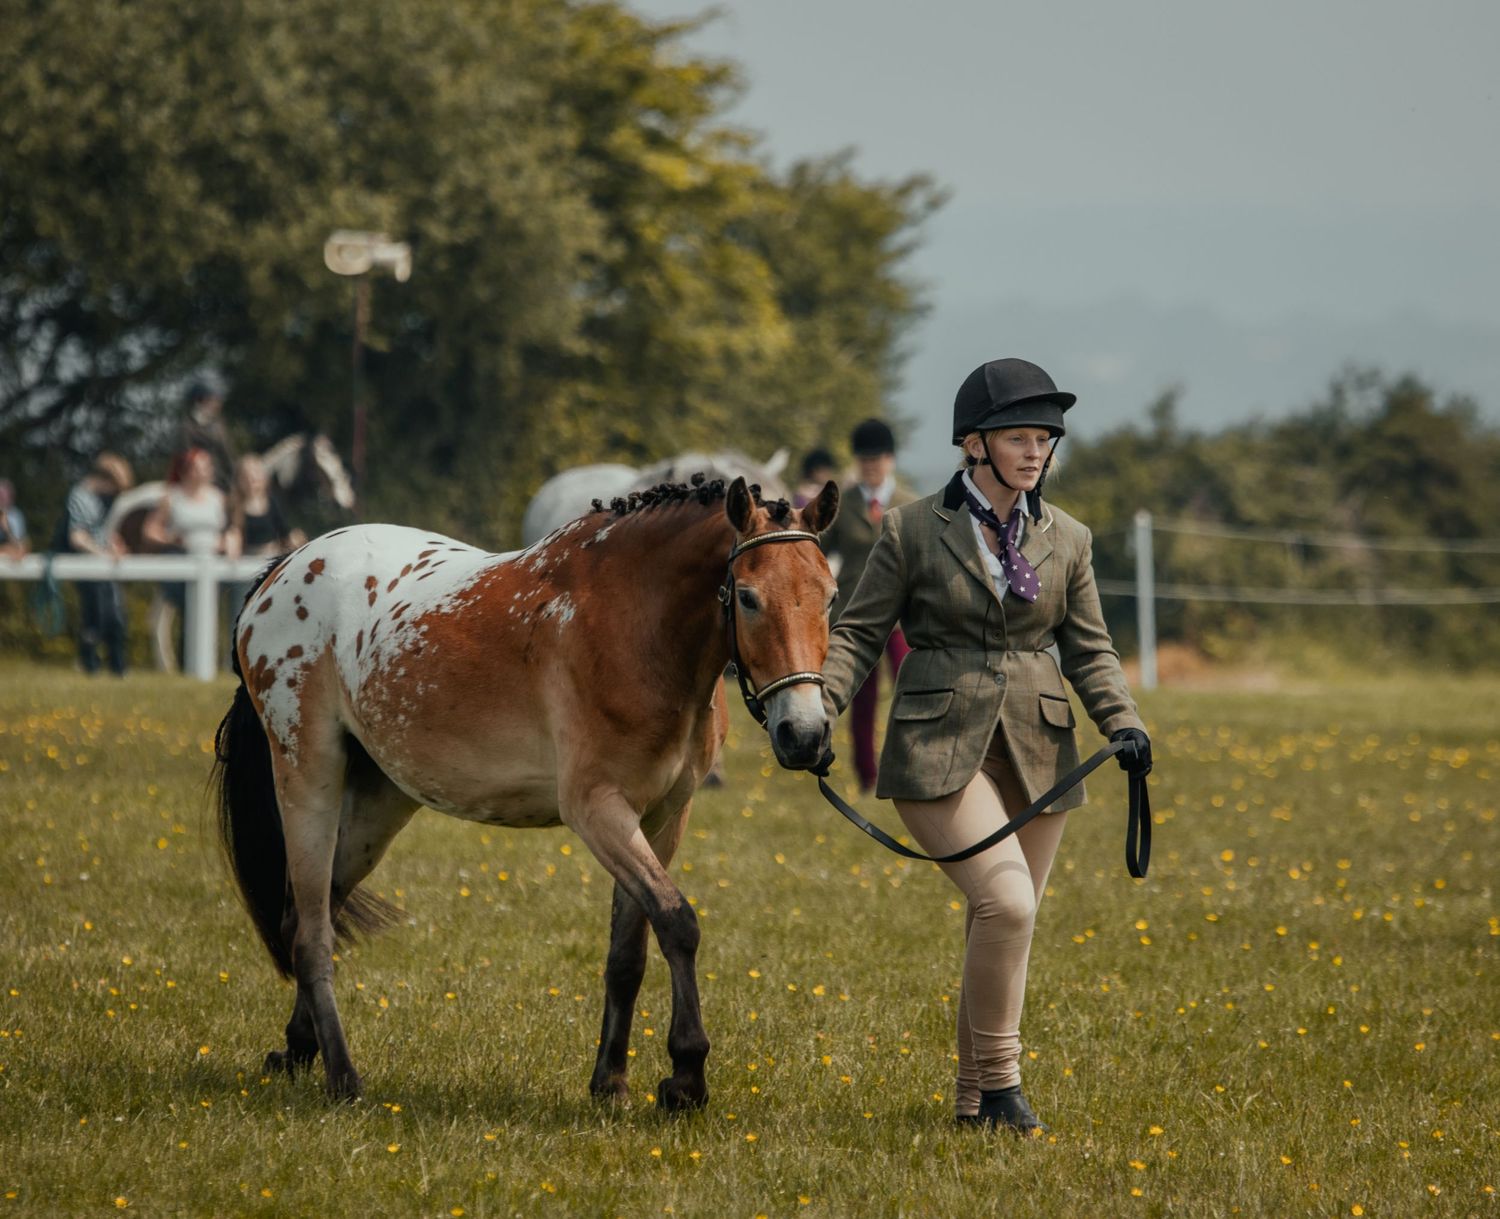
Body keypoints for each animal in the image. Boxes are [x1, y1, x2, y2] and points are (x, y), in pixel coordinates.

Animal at [212, 474, 842, 1106]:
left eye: (831, 596)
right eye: (748, 597)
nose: (805, 735)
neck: (635, 624)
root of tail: (284, 569)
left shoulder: (662, 818)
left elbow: (629, 953)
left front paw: (611, 1081)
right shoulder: (598, 811)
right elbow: (677, 922)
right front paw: (686, 1076)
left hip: (379, 801)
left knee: (306, 915)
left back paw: (298, 1050)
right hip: (308, 776)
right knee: (312, 934)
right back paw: (343, 1077)